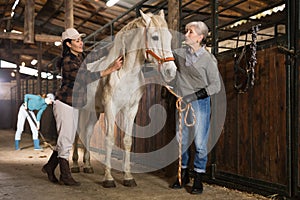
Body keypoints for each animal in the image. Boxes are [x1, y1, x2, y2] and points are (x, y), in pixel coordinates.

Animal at [73, 9, 176, 188]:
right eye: (155, 37)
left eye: (169, 37)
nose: (171, 71)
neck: (126, 73)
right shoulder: (111, 108)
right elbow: (109, 139)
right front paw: (108, 178)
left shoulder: (131, 109)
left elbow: (127, 141)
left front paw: (128, 177)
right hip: (78, 110)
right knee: (75, 134)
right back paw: (73, 164)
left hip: (93, 112)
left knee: (87, 133)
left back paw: (87, 166)